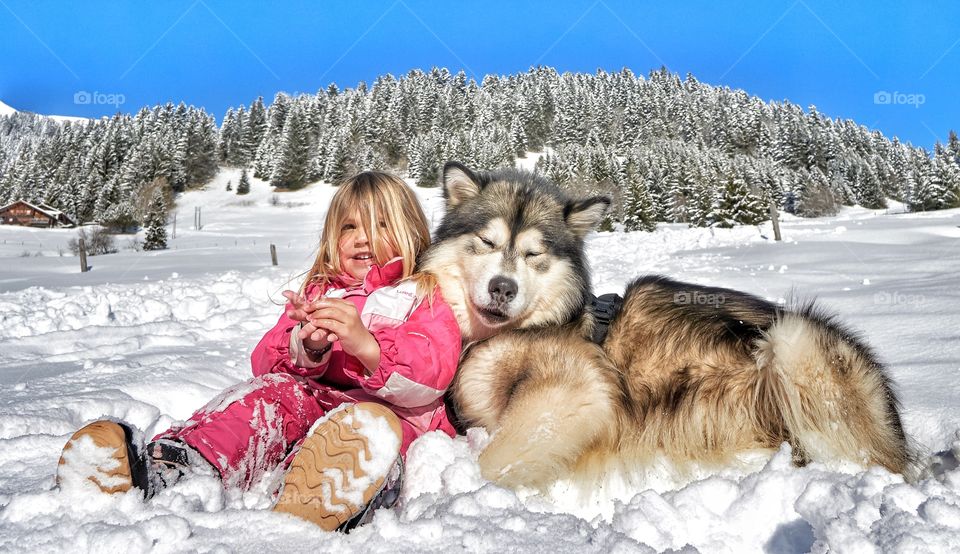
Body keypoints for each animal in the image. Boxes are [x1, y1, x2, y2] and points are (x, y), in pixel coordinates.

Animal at [420, 162, 911, 491]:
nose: (503, 288)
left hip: (792, 338)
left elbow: (492, 463)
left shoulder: (575, 389)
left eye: (533, 254)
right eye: (487, 242)